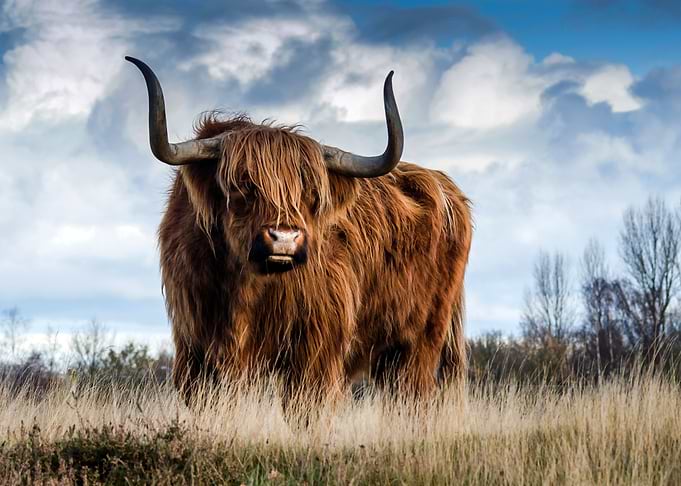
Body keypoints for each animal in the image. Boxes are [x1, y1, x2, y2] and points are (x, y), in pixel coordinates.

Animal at [126, 57, 472, 408]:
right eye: (242, 186)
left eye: (311, 194)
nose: (285, 239)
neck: (244, 288)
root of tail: (445, 186)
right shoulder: (194, 347)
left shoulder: (316, 348)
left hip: (420, 342)